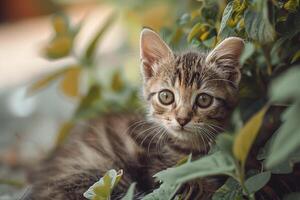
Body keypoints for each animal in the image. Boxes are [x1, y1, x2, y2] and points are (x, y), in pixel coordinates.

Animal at [27, 28, 244, 200]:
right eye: (166, 96)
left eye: (204, 100)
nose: (182, 119)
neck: (189, 148)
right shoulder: (161, 176)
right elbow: (194, 187)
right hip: (101, 176)